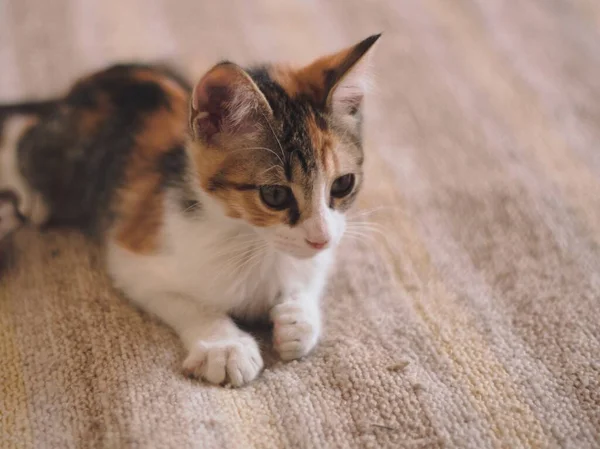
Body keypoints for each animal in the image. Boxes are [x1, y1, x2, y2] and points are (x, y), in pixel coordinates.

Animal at [0, 35, 382, 384]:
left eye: (343, 184)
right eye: (275, 195)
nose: (321, 238)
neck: (254, 242)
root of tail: (82, 86)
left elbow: (311, 276)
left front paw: (298, 321)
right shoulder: (134, 257)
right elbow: (189, 302)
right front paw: (224, 347)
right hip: (60, 158)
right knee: (23, 138)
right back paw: (32, 200)